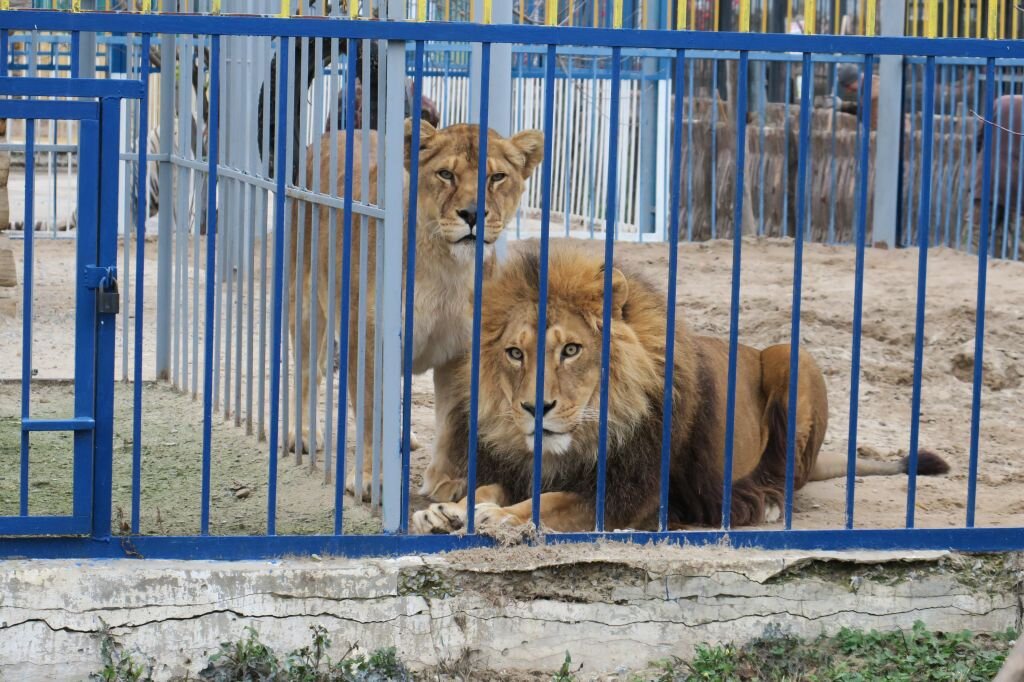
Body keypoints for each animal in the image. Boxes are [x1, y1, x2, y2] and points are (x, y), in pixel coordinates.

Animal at [288, 120, 544, 499]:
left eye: (496, 177)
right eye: (445, 174)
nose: (473, 214)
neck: (445, 267)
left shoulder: (460, 350)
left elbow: (451, 422)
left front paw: (445, 482)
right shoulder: (369, 341)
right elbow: (372, 412)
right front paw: (371, 478)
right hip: (304, 300)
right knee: (307, 373)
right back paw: (303, 436)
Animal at [409, 240, 950, 532]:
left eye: (571, 350)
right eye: (515, 353)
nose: (533, 409)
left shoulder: (630, 497)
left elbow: (553, 502)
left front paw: (501, 520)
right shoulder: (520, 471)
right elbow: (489, 487)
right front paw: (447, 511)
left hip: (794, 356)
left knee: (788, 473)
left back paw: (767, 501)